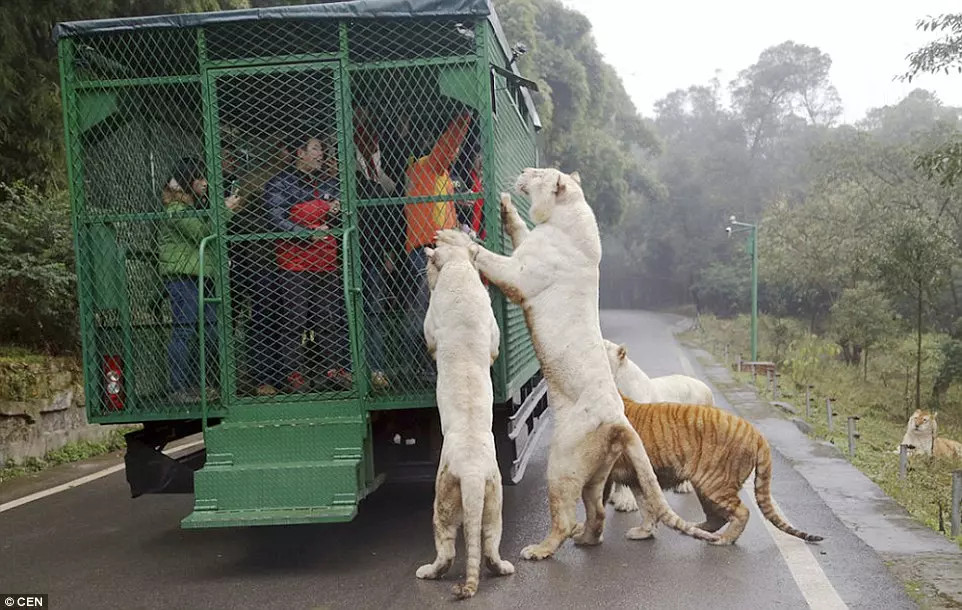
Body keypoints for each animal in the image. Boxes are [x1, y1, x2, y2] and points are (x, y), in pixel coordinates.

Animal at [414, 245, 512, 596]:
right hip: (494, 501)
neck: (457, 266)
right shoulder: (492, 329)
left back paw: (427, 572)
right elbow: (494, 345)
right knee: (490, 544)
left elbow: (430, 340)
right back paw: (504, 568)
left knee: (446, 549)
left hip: (441, 502)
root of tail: (471, 472)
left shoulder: (431, 324)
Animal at [608, 396, 816, 544]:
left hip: (714, 485)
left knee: (742, 512)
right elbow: (647, 507)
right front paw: (645, 531)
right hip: (706, 488)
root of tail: (756, 433)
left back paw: (723, 540)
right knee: (717, 517)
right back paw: (698, 529)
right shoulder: (636, 478)